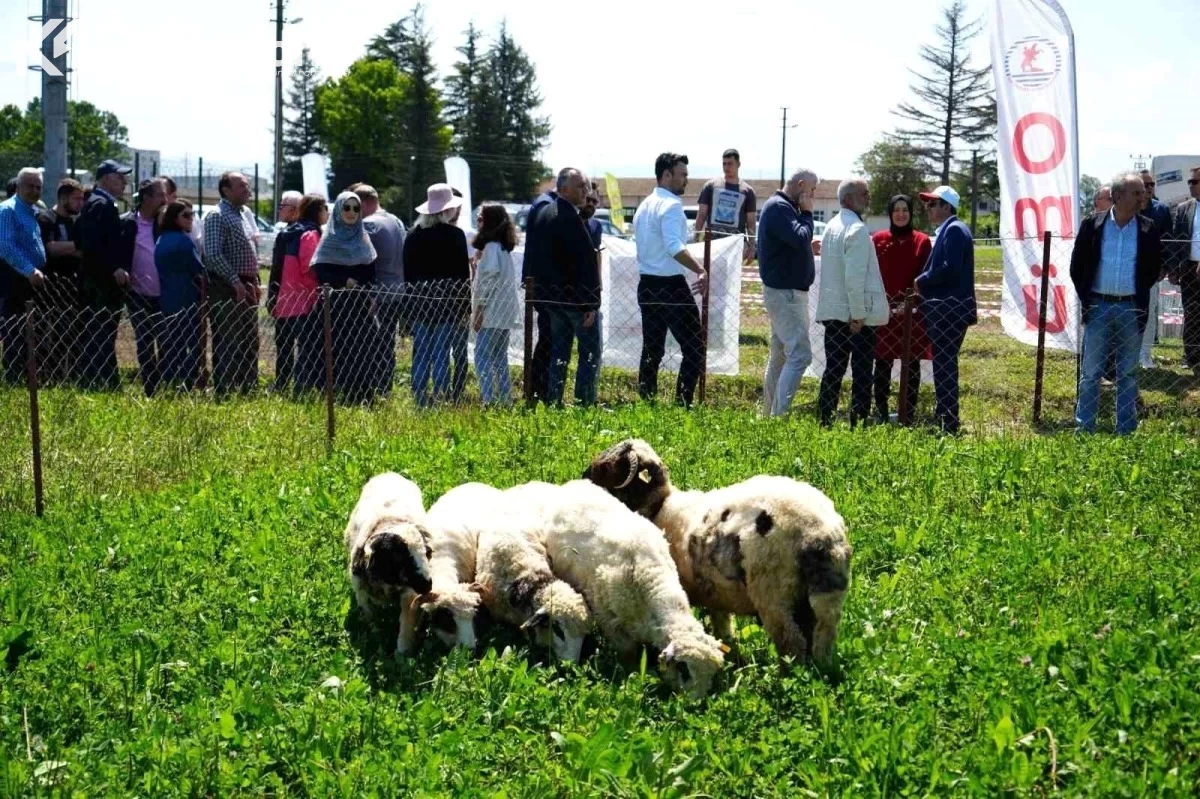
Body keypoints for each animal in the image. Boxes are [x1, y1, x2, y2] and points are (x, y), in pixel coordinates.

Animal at [343, 470, 436, 652]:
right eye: (399, 558)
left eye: (427, 553)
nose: (427, 585)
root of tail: (389, 474)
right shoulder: (361, 593)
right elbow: (371, 620)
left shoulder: (409, 595)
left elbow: (406, 623)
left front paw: (402, 652)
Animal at [508, 475, 729, 695]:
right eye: (685, 670)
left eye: (711, 675)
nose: (694, 703)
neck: (653, 583)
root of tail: (572, 485)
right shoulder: (610, 622)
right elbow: (628, 657)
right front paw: (629, 678)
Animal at [583, 439, 854, 662]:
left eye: (606, 469)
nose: (582, 478)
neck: (660, 507)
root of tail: (818, 533)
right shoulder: (714, 592)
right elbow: (721, 622)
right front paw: (729, 646)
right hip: (827, 599)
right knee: (822, 639)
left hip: (774, 594)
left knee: (792, 643)